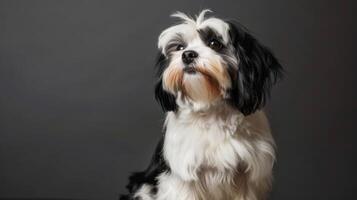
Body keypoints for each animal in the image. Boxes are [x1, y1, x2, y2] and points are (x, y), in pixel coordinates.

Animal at [119, 9, 280, 200]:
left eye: (214, 43)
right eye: (180, 47)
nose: (188, 54)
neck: (212, 110)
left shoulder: (248, 177)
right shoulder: (182, 178)